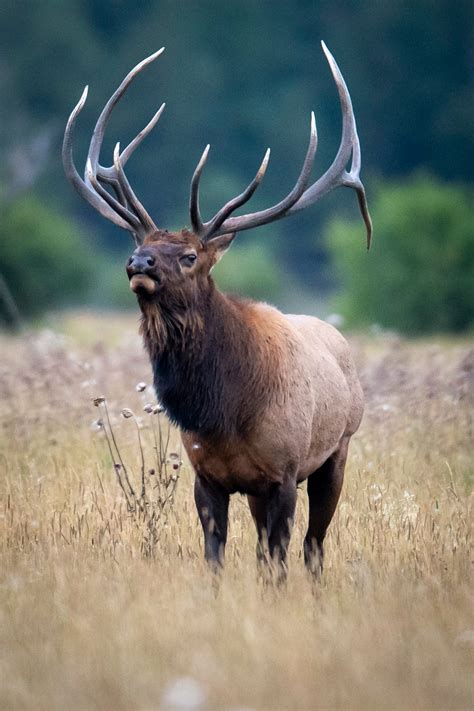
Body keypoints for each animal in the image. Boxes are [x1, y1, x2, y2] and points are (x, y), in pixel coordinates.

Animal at [63, 43, 372, 579]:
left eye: (189, 256)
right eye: (140, 244)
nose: (137, 263)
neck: (226, 411)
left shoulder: (284, 471)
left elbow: (279, 562)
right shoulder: (208, 475)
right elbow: (217, 558)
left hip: (338, 450)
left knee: (313, 546)